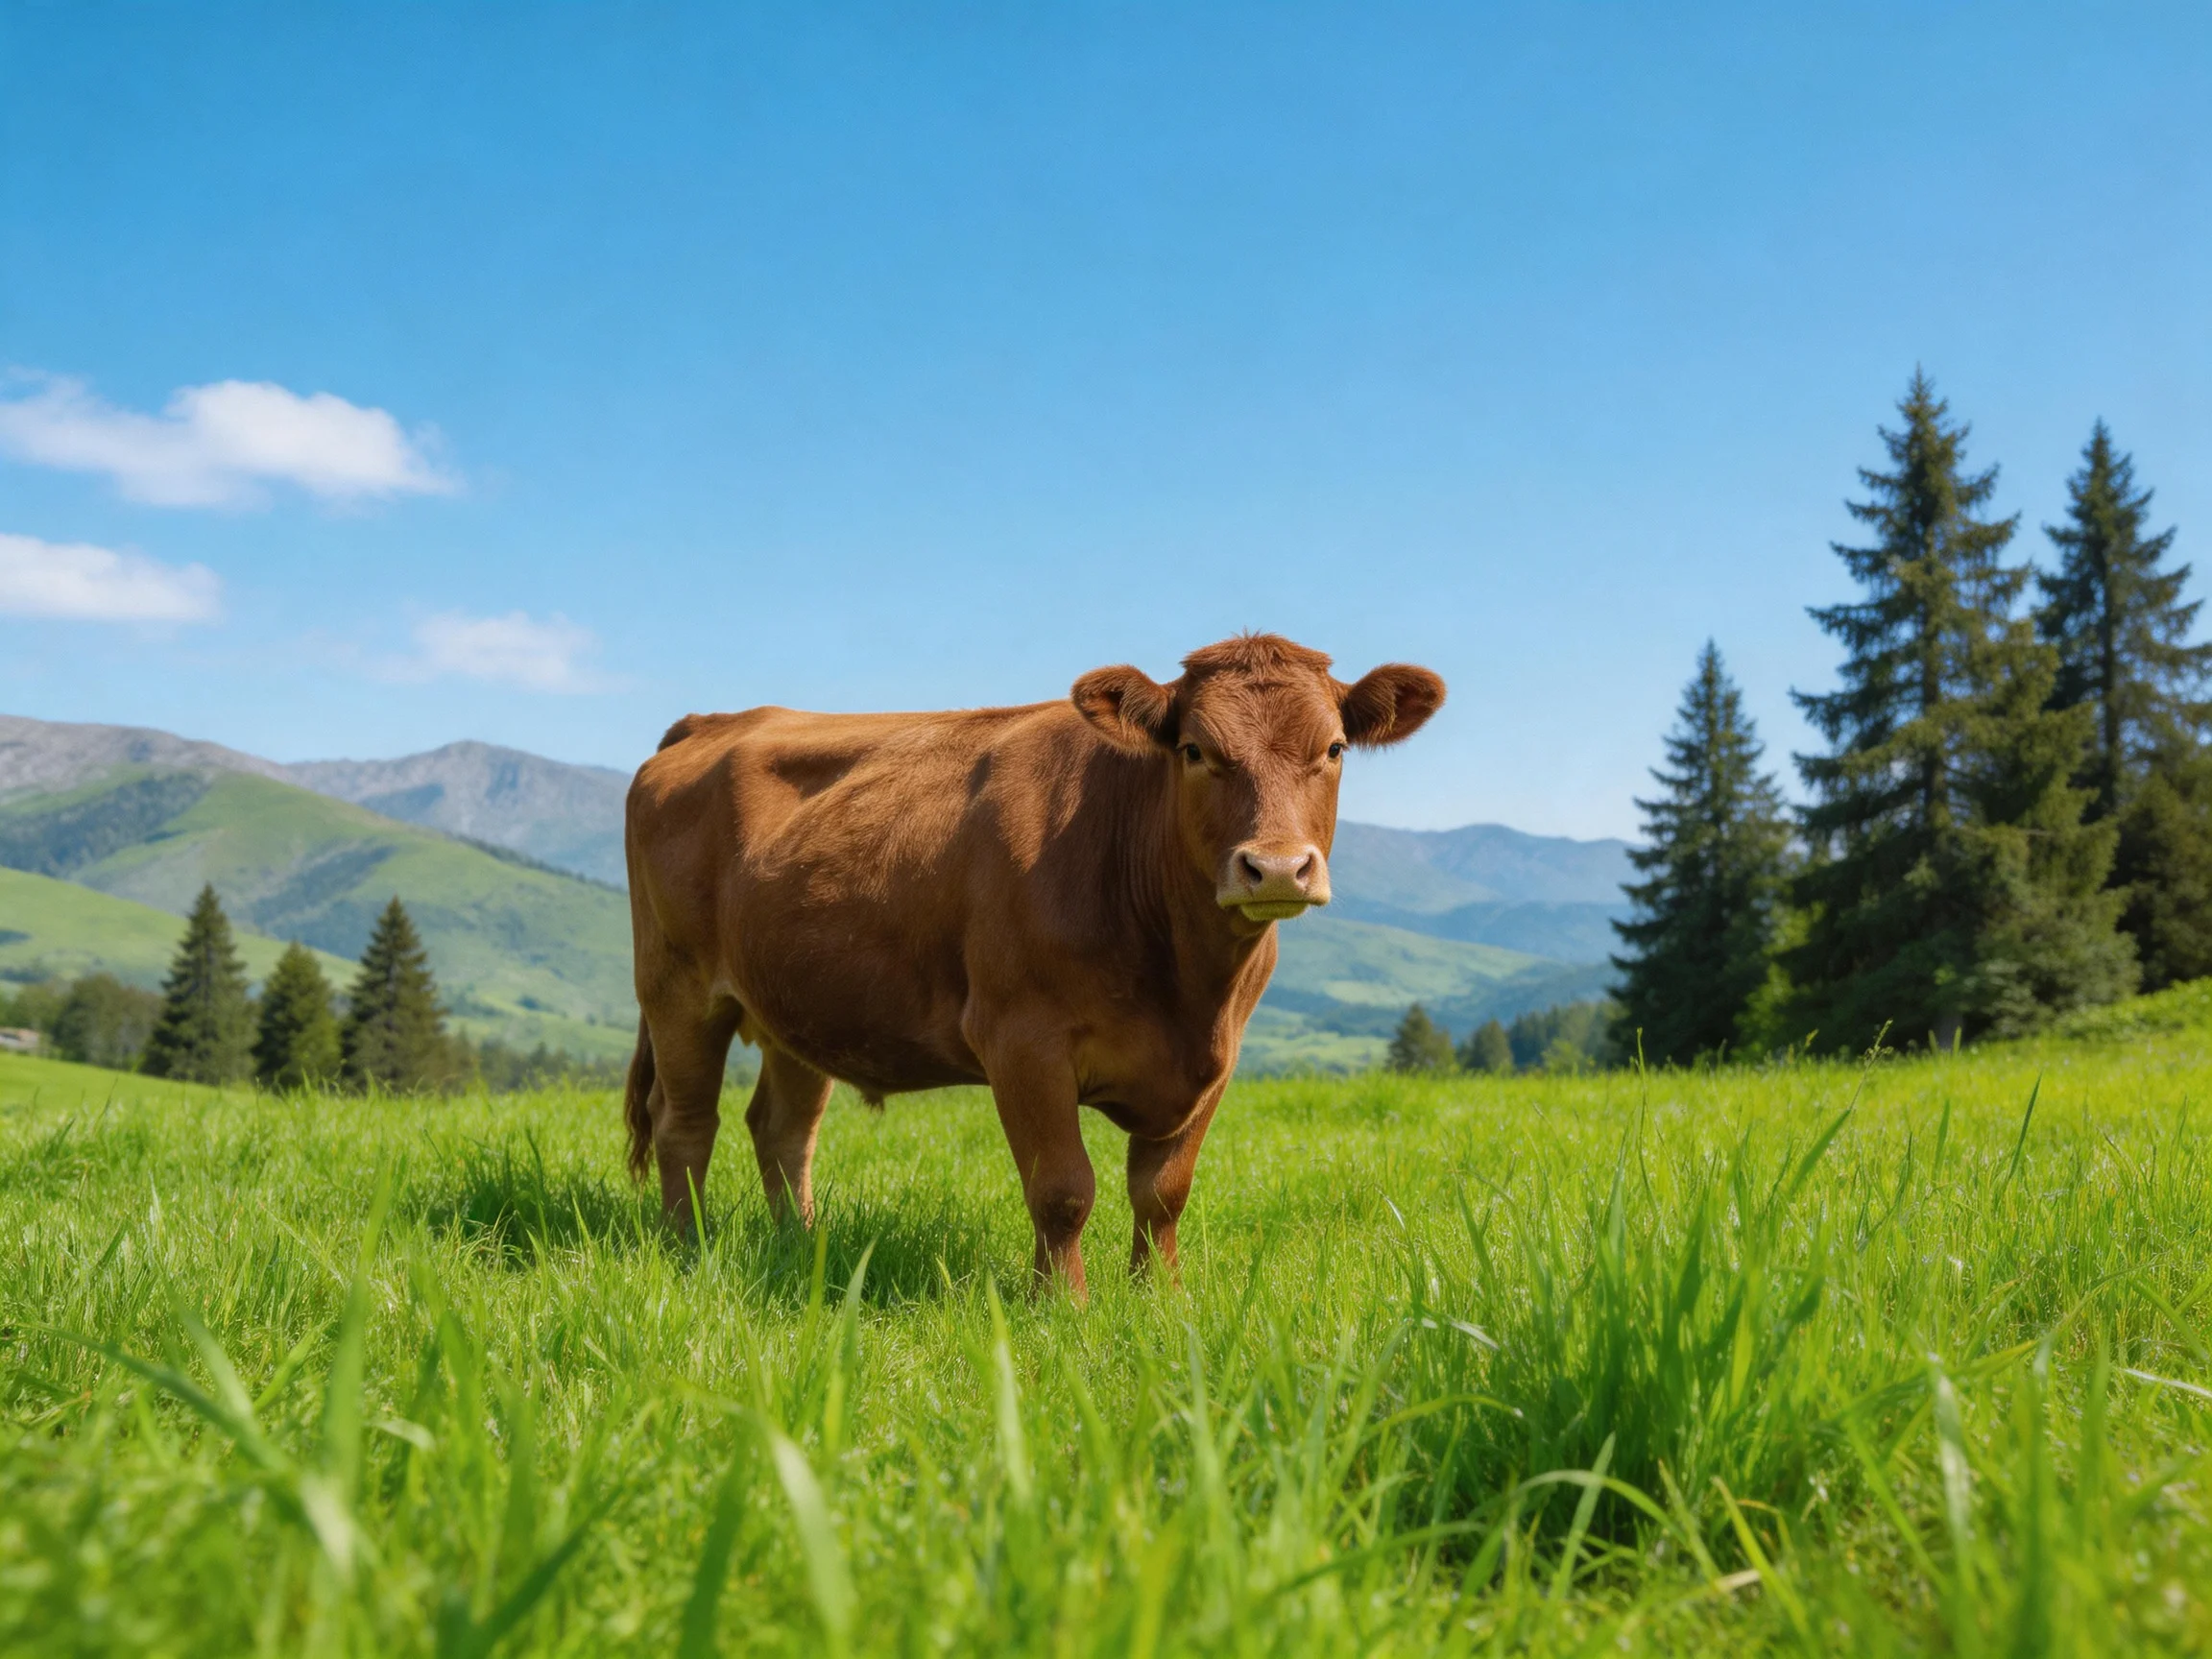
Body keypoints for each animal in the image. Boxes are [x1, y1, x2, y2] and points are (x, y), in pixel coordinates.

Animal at [622, 633, 1444, 1296]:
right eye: (1194, 750)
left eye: (1333, 750)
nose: (1274, 868)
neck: (1186, 983)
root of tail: (719, 721)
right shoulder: (1022, 1040)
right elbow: (1063, 1189)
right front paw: (1063, 1308)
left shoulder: (1218, 1058)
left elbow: (1163, 1191)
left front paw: (1160, 1301)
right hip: (677, 987)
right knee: (684, 1123)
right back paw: (686, 1248)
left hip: (799, 1005)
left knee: (782, 1128)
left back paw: (801, 1244)